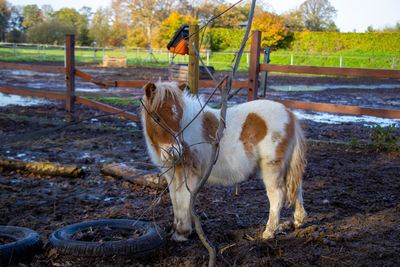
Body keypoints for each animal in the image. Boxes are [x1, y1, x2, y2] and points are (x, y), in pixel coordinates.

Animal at [141, 81, 306, 241]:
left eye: (180, 117)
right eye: (156, 118)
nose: (175, 151)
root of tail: (290, 115)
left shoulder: (185, 172)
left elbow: (182, 201)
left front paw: (181, 234)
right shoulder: (171, 174)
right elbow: (175, 201)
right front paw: (175, 230)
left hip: (271, 167)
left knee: (277, 195)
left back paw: (269, 232)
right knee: (296, 188)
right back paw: (298, 221)